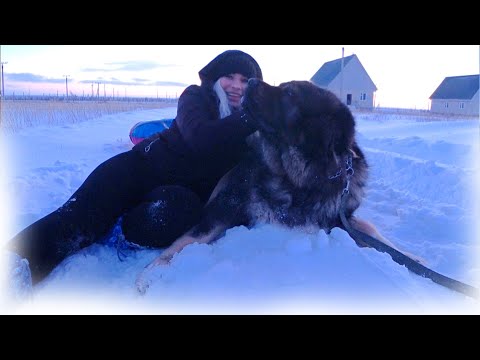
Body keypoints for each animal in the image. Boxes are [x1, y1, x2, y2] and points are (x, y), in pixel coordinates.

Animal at [134, 80, 416, 294]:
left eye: (290, 93)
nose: (250, 82)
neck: (296, 180)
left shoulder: (338, 216)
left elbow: (371, 231)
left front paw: (412, 258)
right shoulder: (223, 208)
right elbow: (187, 240)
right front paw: (149, 275)